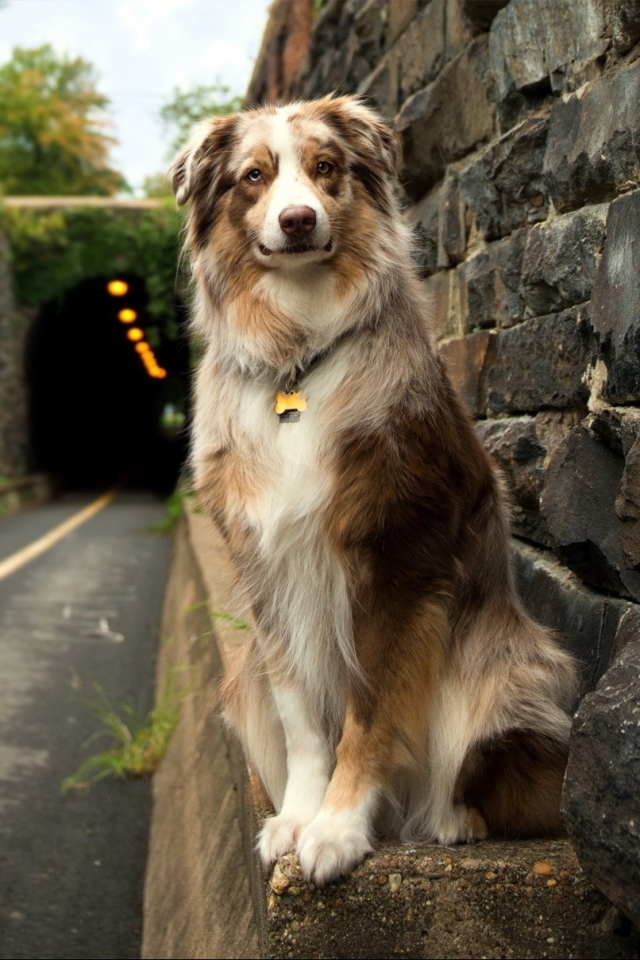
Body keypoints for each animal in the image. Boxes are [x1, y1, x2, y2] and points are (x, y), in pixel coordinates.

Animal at [169, 95, 576, 884]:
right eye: (253, 177)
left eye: (326, 167)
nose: (298, 219)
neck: (298, 355)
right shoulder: (269, 571)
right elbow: (303, 716)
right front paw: (299, 817)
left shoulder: (397, 560)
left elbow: (373, 710)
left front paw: (338, 828)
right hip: (242, 684)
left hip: (506, 673)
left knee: (502, 785)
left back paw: (451, 820)